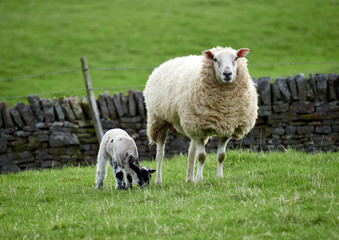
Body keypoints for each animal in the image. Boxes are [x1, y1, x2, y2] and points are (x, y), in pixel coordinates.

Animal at [143, 46, 258, 184]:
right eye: (215, 59)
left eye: (235, 58)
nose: (227, 74)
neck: (224, 106)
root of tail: (166, 63)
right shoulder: (198, 129)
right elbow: (202, 157)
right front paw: (199, 179)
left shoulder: (225, 129)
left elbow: (221, 156)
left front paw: (219, 177)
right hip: (159, 120)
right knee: (160, 153)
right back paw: (159, 180)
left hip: (191, 124)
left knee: (191, 152)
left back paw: (189, 179)